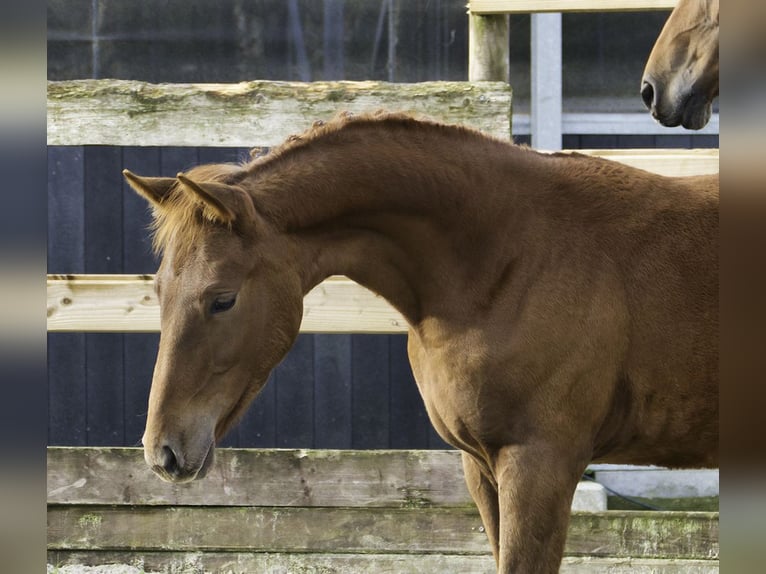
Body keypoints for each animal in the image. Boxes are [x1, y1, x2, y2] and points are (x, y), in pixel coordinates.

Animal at [126, 113, 720, 574]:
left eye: (222, 299)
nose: (163, 451)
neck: (509, 258)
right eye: (158, 291)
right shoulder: (482, 468)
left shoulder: (540, 467)